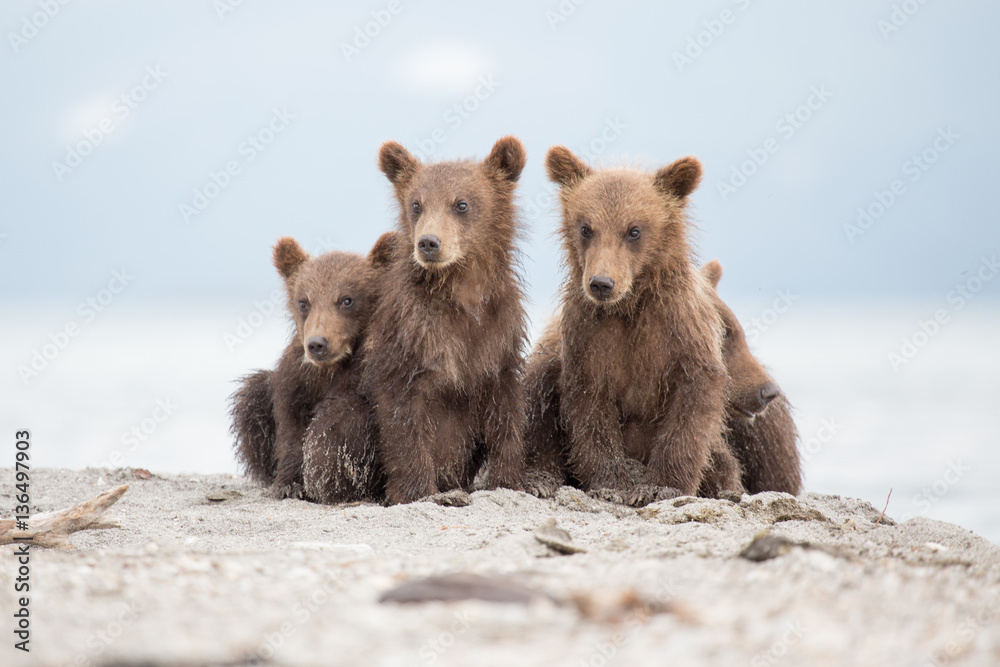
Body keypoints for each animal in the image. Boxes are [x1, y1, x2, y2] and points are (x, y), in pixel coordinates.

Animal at [230, 233, 397, 502]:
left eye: (347, 300)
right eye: (304, 302)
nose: (318, 343)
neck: (330, 369)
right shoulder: (296, 380)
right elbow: (289, 429)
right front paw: (288, 484)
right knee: (253, 398)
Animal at [362, 136, 529, 505]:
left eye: (461, 204)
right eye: (416, 204)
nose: (428, 242)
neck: (461, 294)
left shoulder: (498, 334)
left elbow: (505, 410)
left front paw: (509, 479)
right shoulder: (410, 334)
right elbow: (402, 417)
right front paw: (418, 490)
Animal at [530, 146, 741, 502]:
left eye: (634, 230)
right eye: (586, 228)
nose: (602, 283)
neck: (629, 306)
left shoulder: (679, 328)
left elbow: (694, 403)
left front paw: (661, 485)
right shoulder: (588, 337)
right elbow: (589, 408)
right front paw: (612, 484)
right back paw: (540, 478)